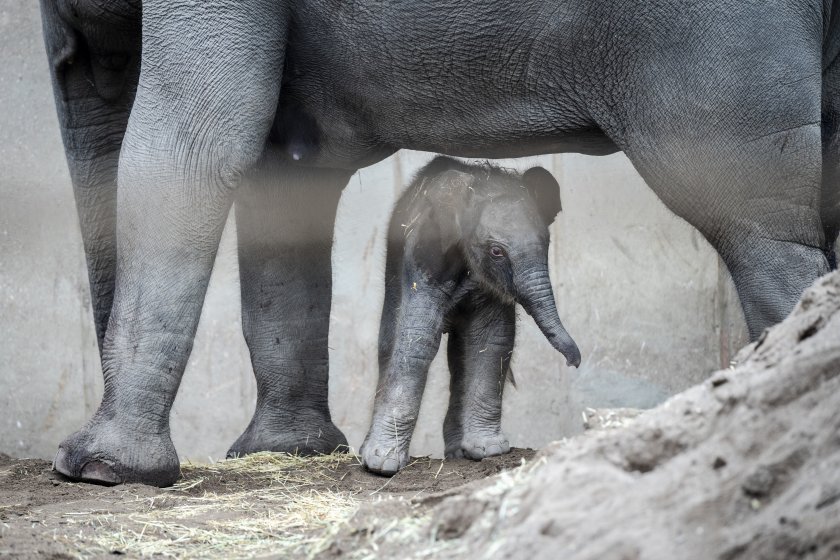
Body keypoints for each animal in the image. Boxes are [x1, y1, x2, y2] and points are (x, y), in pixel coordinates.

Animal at [358, 158, 580, 476]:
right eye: (496, 251)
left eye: (547, 243)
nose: (574, 362)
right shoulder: (425, 256)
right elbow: (417, 341)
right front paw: (382, 463)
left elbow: (491, 339)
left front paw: (488, 450)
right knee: (389, 343)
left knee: (459, 356)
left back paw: (457, 453)